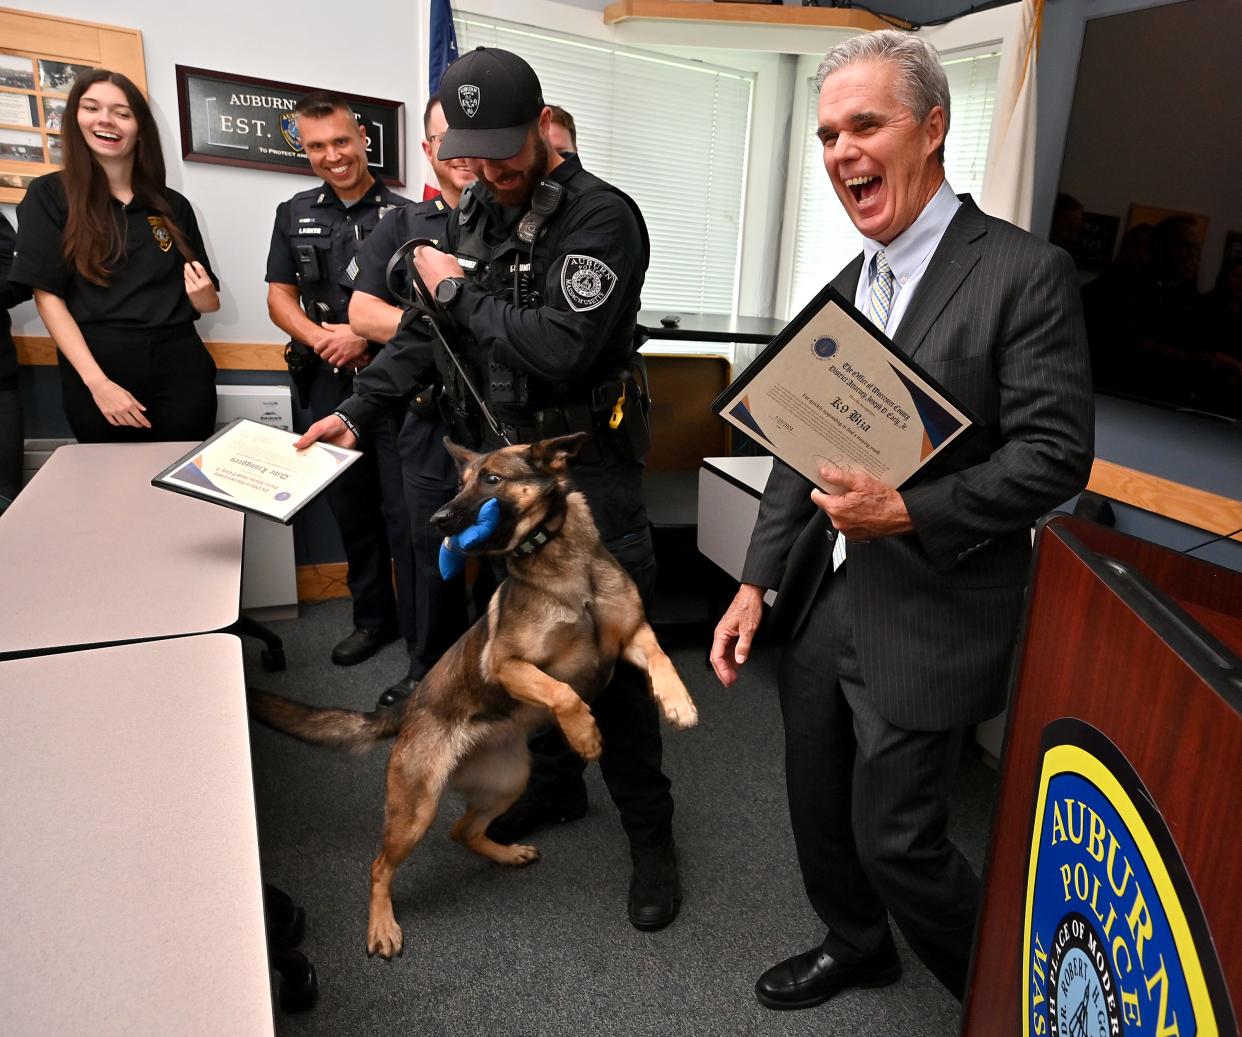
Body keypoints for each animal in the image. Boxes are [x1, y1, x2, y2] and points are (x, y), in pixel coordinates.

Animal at [252, 429, 700, 958]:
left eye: (491, 480)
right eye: (459, 484)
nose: (437, 520)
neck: (559, 561)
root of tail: (410, 709)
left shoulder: (632, 634)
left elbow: (662, 658)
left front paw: (679, 702)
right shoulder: (507, 665)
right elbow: (562, 693)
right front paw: (586, 735)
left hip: (509, 780)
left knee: (461, 830)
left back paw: (504, 854)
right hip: (415, 810)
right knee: (380, 866)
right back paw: (381, 925)